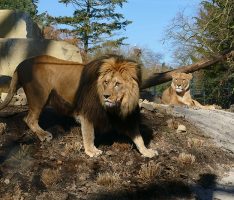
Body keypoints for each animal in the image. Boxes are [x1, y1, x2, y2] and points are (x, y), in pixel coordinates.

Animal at [0, 54, 157, 158]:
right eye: (106, 82)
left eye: (117, 84)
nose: (105, 96)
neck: (118, 105)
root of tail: (21, 63)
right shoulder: (87, 112)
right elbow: (89, 134)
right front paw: (92, 151)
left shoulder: (125, 117)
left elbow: (138, 137)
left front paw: (147, 151)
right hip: (39, 96)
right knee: (29, 119)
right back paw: (44, 135)